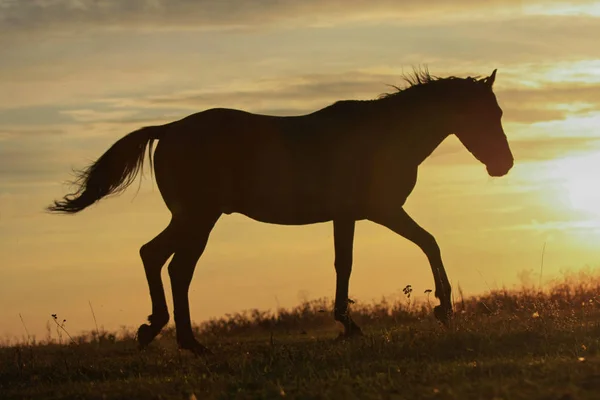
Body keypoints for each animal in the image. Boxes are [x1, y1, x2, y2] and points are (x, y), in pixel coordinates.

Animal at [49, 69, 512, 356]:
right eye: (484, 115)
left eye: (499, 113)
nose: (503, 165)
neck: (384, 135)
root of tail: (169, 130)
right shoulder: (379, 210)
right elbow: (420, 244)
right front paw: (441, 309)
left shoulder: (354, 215)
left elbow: (353, 261)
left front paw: (354, 321)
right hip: (199, 217)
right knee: (173, 266)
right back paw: (183, 339)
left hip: (192, 218)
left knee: (158, 257)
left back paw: (162, 332)